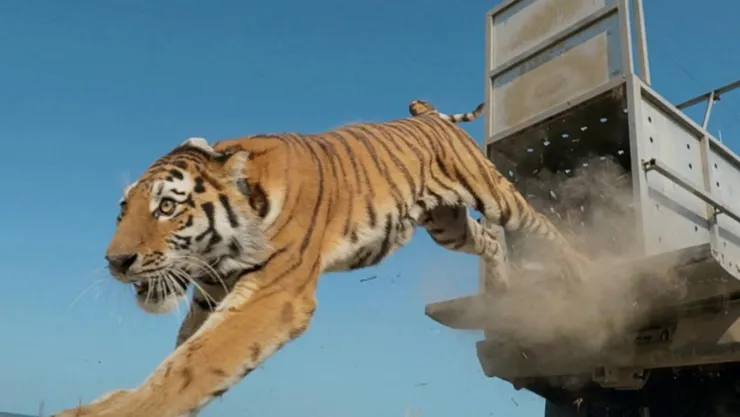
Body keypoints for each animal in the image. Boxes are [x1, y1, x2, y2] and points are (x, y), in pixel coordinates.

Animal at [52, 99, 590, 417]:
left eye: (167, 207)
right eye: (123, 210)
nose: (115, 261)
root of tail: (428, 114)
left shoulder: (274, 295)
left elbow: (196, 363)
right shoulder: (210, 298)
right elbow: (179, 355)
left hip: (490, 190)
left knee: (535, 224)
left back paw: (581, 273)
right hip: (446, 224)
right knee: (490, 241)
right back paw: (500, 293)